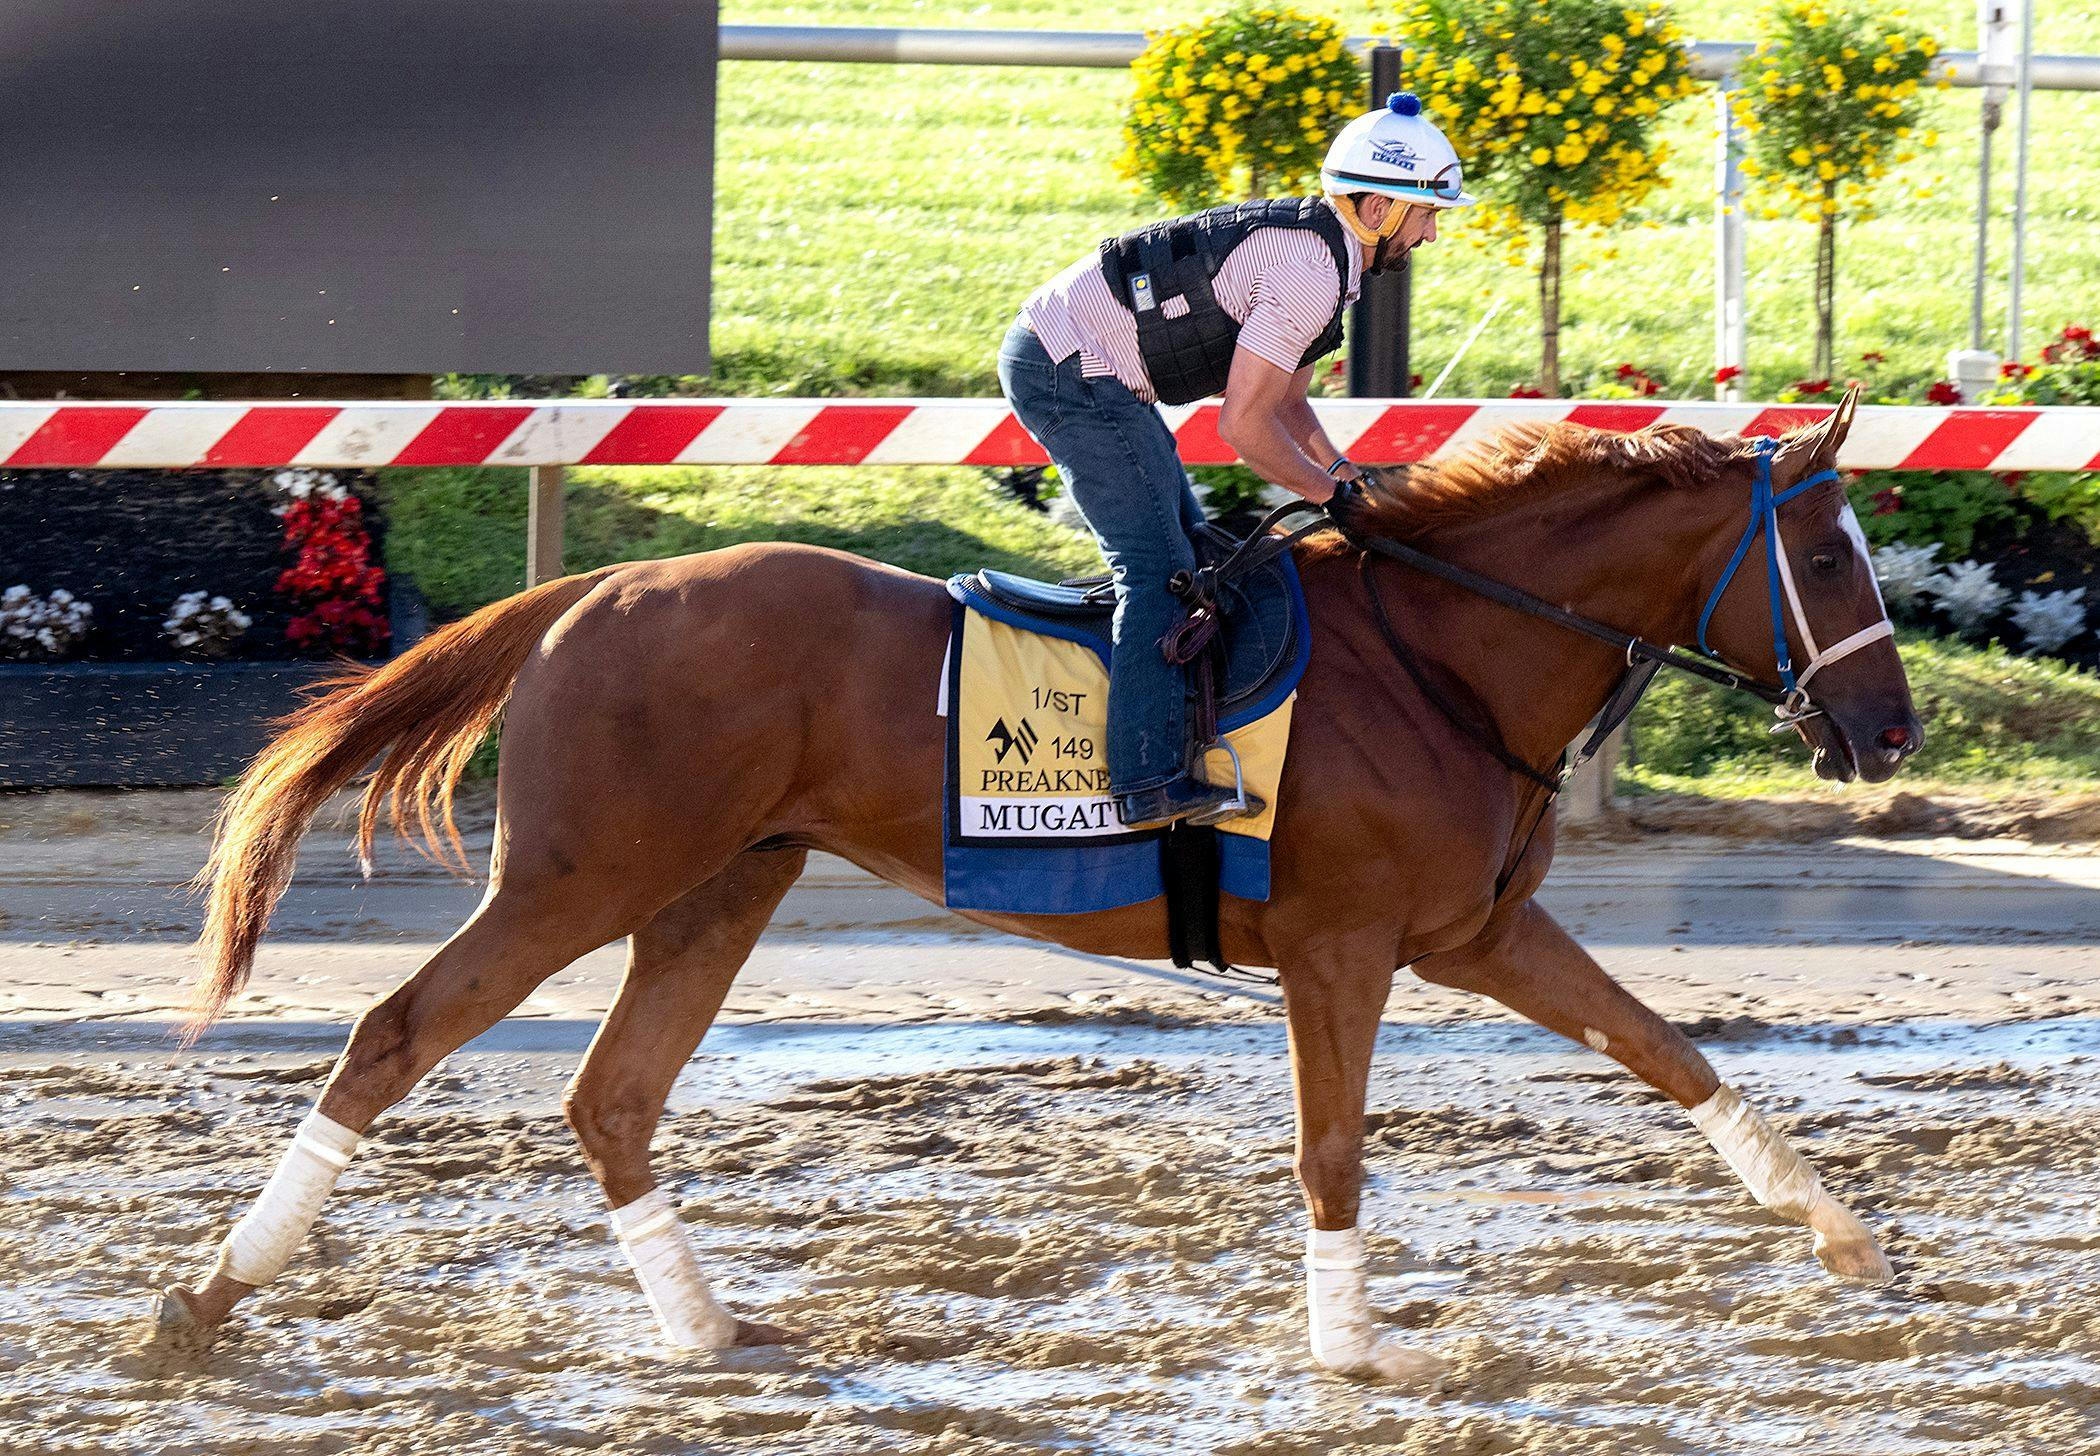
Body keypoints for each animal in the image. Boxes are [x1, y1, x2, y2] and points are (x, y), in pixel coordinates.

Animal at [155, 395, 1920, 1383]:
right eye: (1831, 558)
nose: (1891, 729)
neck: (1443, 657)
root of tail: (601, 584)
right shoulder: (1342, 947)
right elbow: (1334, 1152)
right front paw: (1354, 1350)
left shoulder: (1478, 931)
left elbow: (1669, 1049)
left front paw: (1843, 1233)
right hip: (587, 871)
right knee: (397, 1034)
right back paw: (209, 1295)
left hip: (721, 883)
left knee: (613, 1098)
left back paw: (706, 1331)